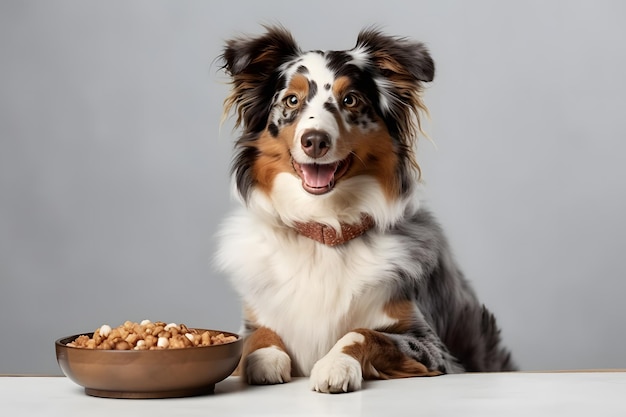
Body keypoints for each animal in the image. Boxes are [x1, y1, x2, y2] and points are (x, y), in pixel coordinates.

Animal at [217, 26, 516, 394]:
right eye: (291, 100)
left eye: (350, 100)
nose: (314, 140)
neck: (326, 229)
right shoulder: (252, 319)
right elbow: (256, 336)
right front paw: (265, 358)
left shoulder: (434, 349)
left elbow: (363, 333)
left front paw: (335, 365)